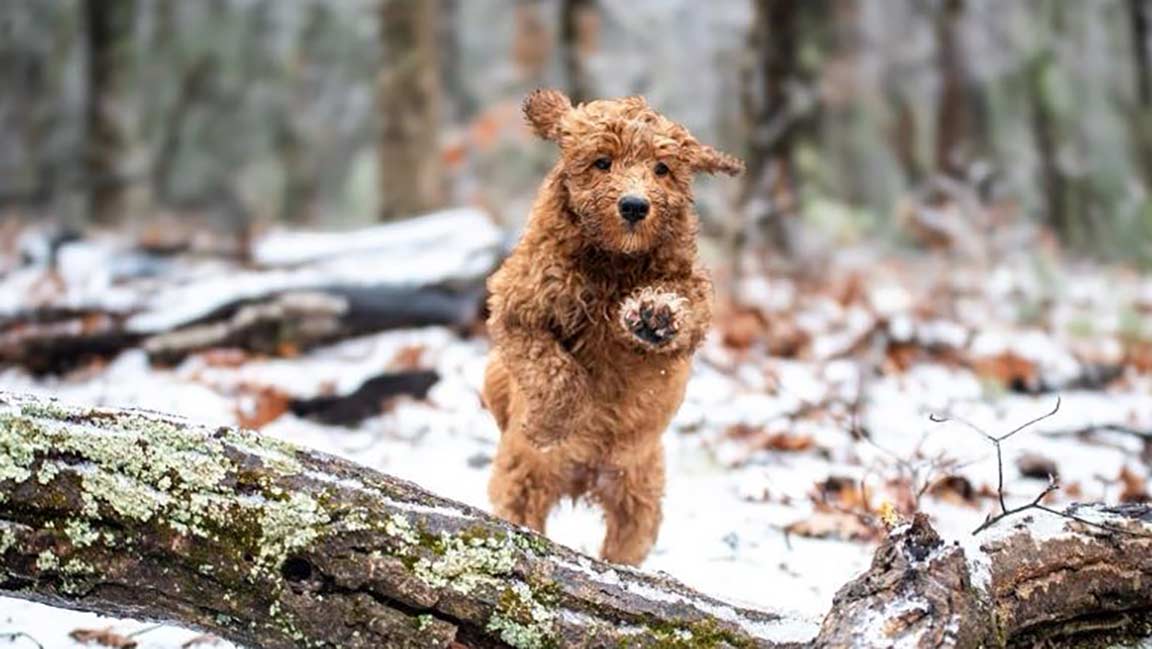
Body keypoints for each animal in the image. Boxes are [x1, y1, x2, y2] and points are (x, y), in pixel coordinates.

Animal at [481, 88, 741, 567]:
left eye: (662, 168)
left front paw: (655, 315)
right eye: (603, 161)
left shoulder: (692, 288)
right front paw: (551, 422)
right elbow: (553, 367)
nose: (635, 206)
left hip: (640, 491)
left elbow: (685, 309)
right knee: (521, 509)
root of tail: (586, 473)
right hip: (524, 476)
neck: (615, 262)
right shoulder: (517, 307)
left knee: (626, 541)